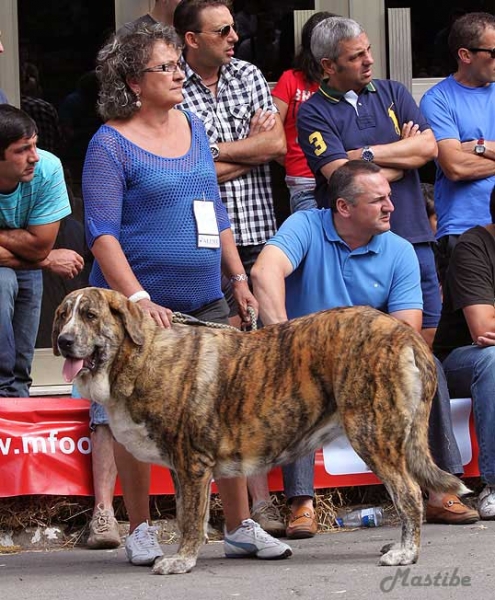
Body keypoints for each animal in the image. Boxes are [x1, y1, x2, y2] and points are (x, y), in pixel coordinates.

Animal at [52, 288, 470, 576]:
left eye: (89, 315)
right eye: (63, 315)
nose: (62, 341)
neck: (140, 358)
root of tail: (403, 332)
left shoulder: (192, 464)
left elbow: (191, 519)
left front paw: (182, 560)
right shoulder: (181, 468)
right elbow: (190, 514)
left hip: (372, 433)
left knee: (409, 495)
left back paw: (405, 553)